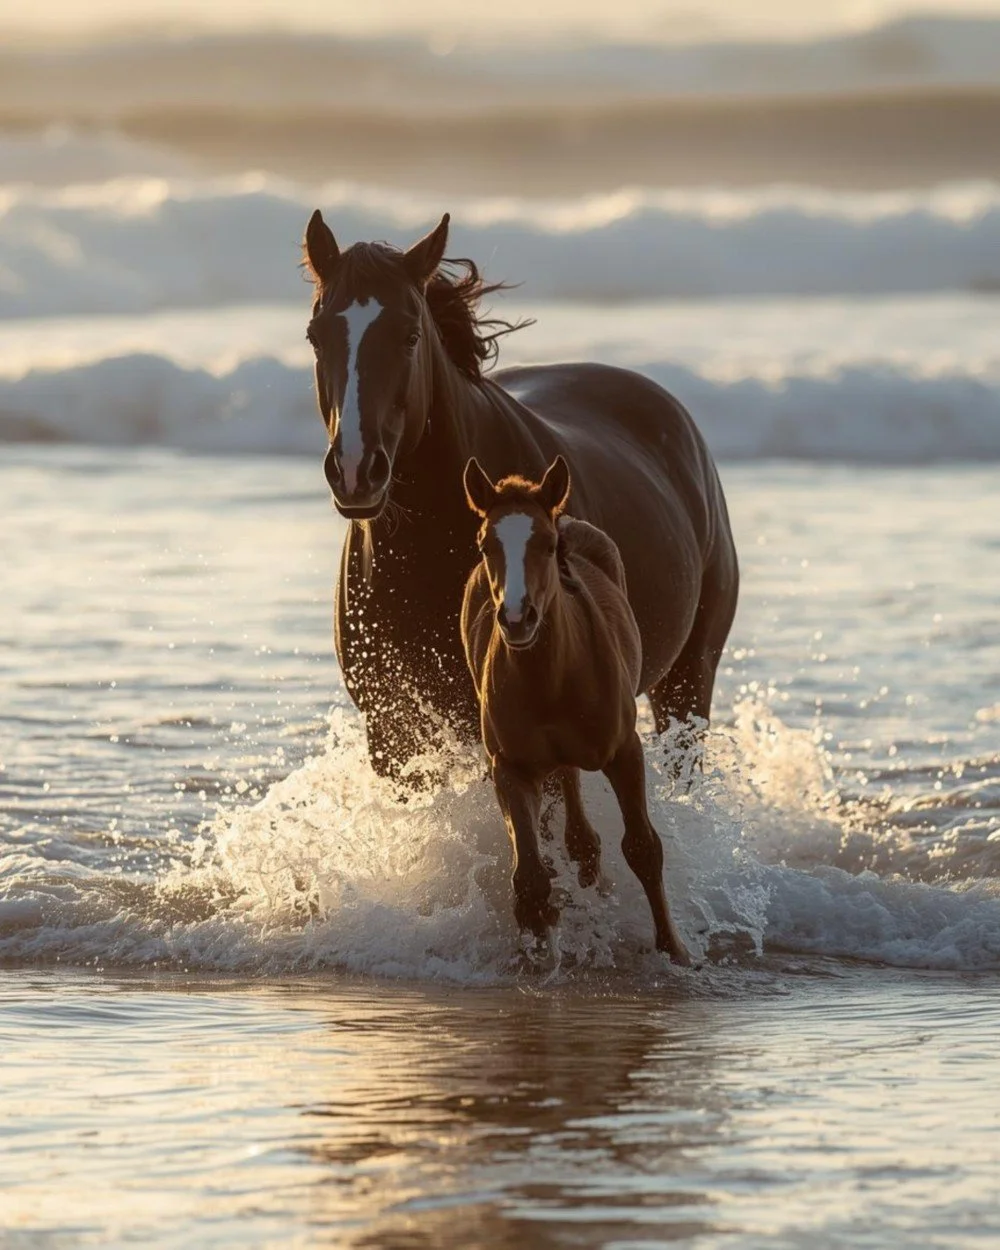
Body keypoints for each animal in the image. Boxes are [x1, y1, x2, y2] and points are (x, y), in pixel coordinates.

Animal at [302, 210, 738, 788]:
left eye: (410, 334)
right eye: (315, 335)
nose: (355, 471)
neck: (427, 553)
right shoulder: (394, 730)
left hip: (691, 673)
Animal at [461, 454, 691, 963]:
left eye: (548, 546)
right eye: (485, 545)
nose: (516, 618)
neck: (552, 680)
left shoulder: (625, 751)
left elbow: (643, 847)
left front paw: (674, 950)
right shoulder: (510, 768)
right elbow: (529, 875)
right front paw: (536, 952)